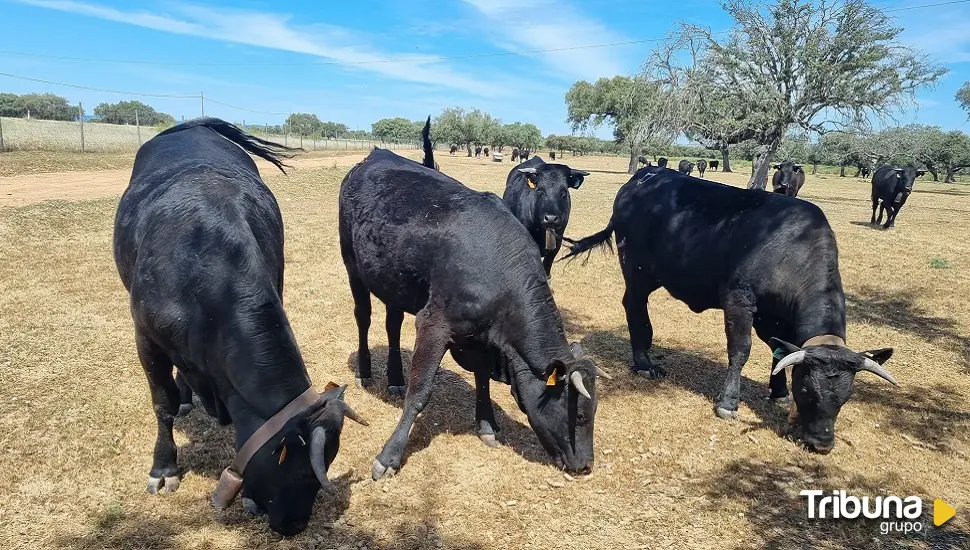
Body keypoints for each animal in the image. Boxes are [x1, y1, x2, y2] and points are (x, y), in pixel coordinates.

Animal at [336, 119, 600, 478]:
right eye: (582, 415)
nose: (586, 465)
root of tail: (374, 156)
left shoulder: (480, 338)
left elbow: (482, 377)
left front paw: (487, 424)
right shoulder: (434, 324)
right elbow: (421, 393)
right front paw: (389, 456)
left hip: (394, 280)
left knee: (392, 325)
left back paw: (394, 379)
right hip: (352, 265)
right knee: (363, 316)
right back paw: (365, 371)